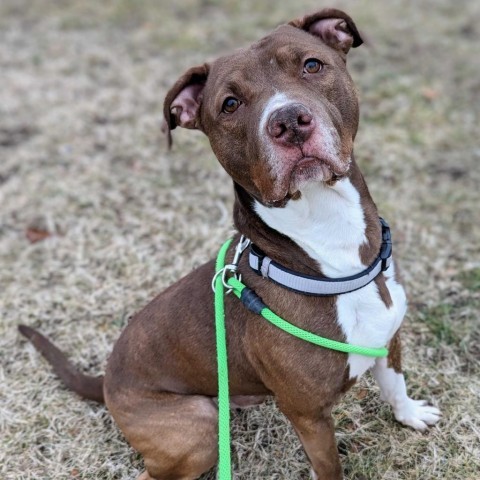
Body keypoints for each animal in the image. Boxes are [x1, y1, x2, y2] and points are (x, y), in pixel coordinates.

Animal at [18, 8, 440, 480]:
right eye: (230, 104)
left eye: (312, 65)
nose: (288, 122)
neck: (336, 252)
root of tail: (106, 380)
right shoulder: (309, 416)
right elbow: (329, 465)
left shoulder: (389, 339)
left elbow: (395, 384)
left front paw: (410, 414)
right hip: (198, 430)